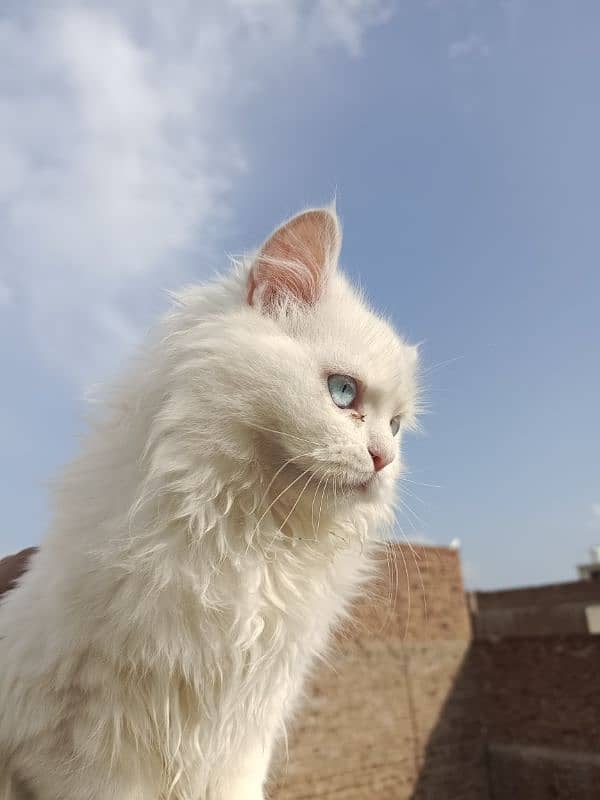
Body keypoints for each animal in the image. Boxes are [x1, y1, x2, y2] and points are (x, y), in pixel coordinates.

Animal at [0, 208, 420, 800]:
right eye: (343, 392)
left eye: (398, 427)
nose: (384, 459)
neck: (255, 538)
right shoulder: (87, 744)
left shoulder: (245, 737)